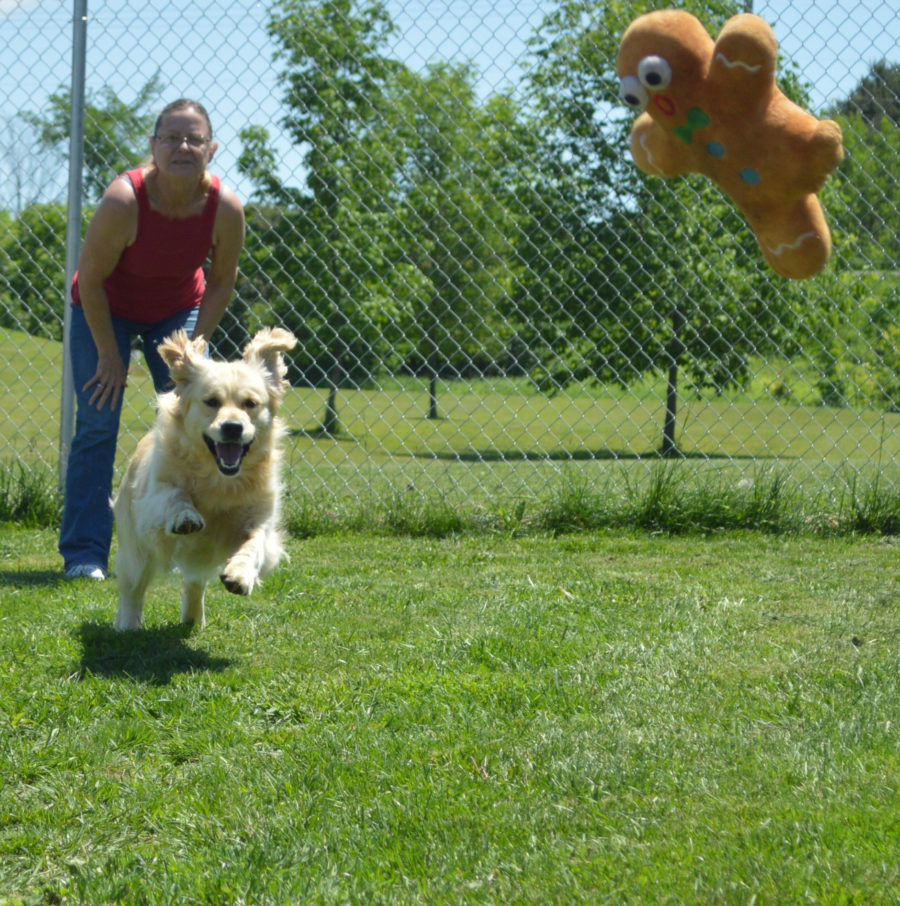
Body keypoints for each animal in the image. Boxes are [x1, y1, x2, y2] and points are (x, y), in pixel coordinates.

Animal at [111, 324, 298, 628]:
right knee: (132, 590)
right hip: (134, 551)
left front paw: (240, 574)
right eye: (212, 401)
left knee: (194, 583)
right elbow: (174, 494)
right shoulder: (152, 499)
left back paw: (193, 619)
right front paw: (186, 516)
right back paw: (128, 626)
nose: (233, 427)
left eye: (250, 403)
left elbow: (254, 544)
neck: (219, 478)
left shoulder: (260, 518)